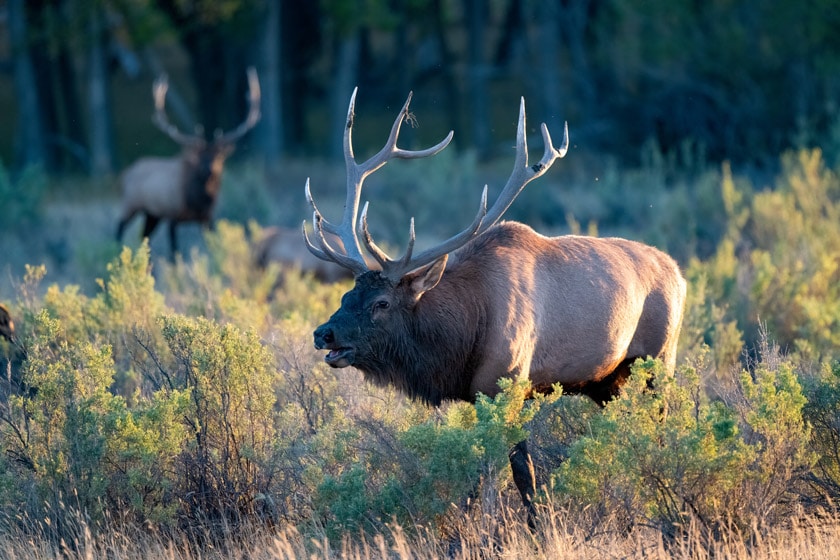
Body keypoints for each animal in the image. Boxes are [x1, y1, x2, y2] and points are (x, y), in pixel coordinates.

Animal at [115, 67, 260, 258]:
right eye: (198, 157)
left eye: (219, 156)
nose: (209, 170)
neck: (196, 203)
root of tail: (125, 174)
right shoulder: (172, 215)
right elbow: (174, 251)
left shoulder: (208, 218)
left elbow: (211, 245)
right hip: (131, 202)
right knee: (120, 227)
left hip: (152, 214)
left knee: (144, 236)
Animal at [306, 88, 684, 528]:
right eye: (346, 297)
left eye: (381, 303)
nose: (324, 333)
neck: (465, 332)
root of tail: (679, 273)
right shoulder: (479, 395)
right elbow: (497, 469)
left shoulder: (509, 381)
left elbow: (509, 468)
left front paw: (511, 526)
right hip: (607, 380)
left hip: (660, 360)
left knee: (659, 427)